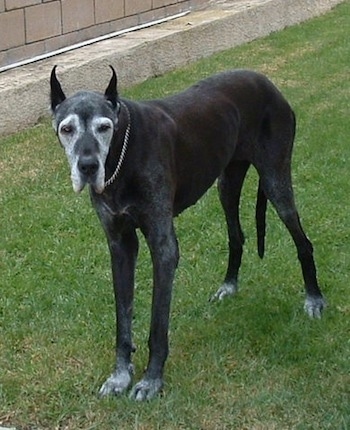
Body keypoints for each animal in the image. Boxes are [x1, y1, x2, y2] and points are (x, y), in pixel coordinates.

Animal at [49, 65, 326, 402]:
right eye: (67, 129)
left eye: (104, 127)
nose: (88, 166)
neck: (121, 158)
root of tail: (267, 82)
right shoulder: (120, 245)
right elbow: (122, 319)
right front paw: (119, 375)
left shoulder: (163, 247)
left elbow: (158, 325)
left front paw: (151, 380)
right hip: (227, 183)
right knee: (237, 237)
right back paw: (228, 286)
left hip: (276, 181)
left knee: (303, 242)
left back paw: (314, 299)